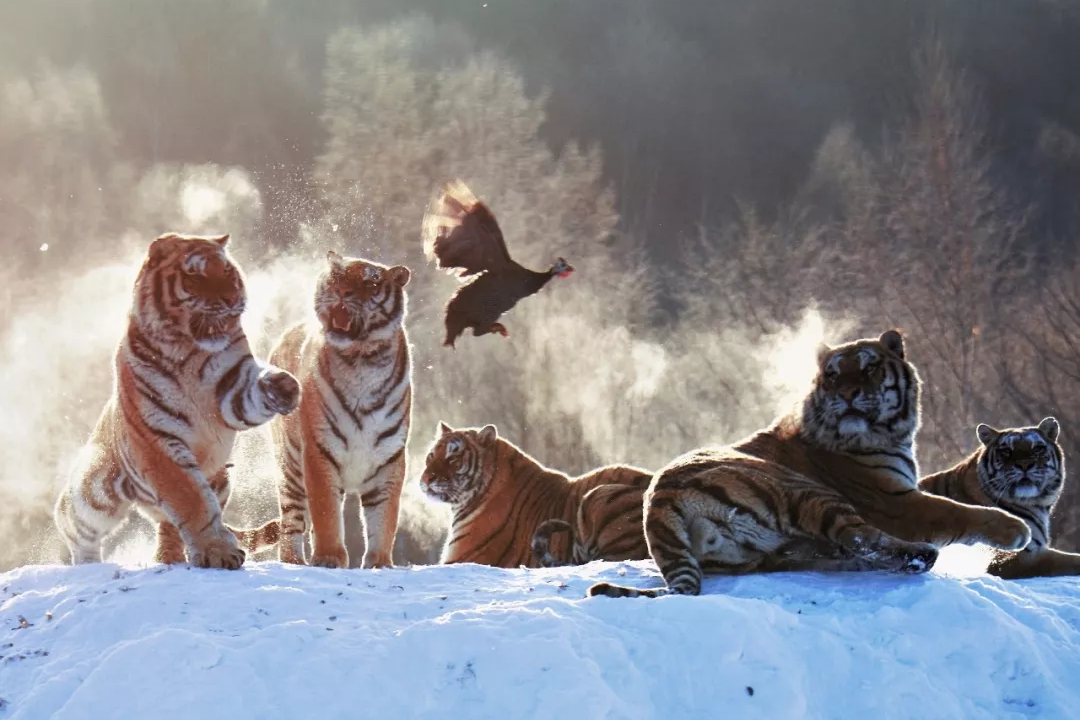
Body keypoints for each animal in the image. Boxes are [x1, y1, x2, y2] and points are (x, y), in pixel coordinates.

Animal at [53, 232, 301, 569]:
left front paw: (284, 386)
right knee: (73, 522)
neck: (190, 351)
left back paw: (168, 558)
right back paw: (90, 565)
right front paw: (218, 553)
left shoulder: (231, 389)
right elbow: (191, 498)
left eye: (227, 271)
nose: (231, 299)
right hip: (94, 491)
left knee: (169, 524)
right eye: (195, 275)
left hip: (221, 478)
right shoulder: (158, 442)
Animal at [234, 250, 412, 569]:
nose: (341, 292)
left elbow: (384, 518)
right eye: (337, 277)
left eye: (371, 283)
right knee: (292, 521)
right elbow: (326, 513)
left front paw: (379, 563)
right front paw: (329, 558)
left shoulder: (389, 459)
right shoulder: (319, 452)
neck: (362, 360)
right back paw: (295, 562)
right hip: (289, 466)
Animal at [588, 329, 1032, 599]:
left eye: (869, 367)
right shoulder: (895, 502)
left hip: (759, 548)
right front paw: (1016, 529)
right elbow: (957, 511)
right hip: (801, 490)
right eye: (833, 374)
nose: (848, 394)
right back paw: (920, 556)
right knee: (861, 537)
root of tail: (657, 504)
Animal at [918, 417, 1080, 579]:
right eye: (1006, 451)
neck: (1033, 503)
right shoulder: (1011, 558)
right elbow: (1064, 560)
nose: (1024, 464)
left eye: (1037, 448)